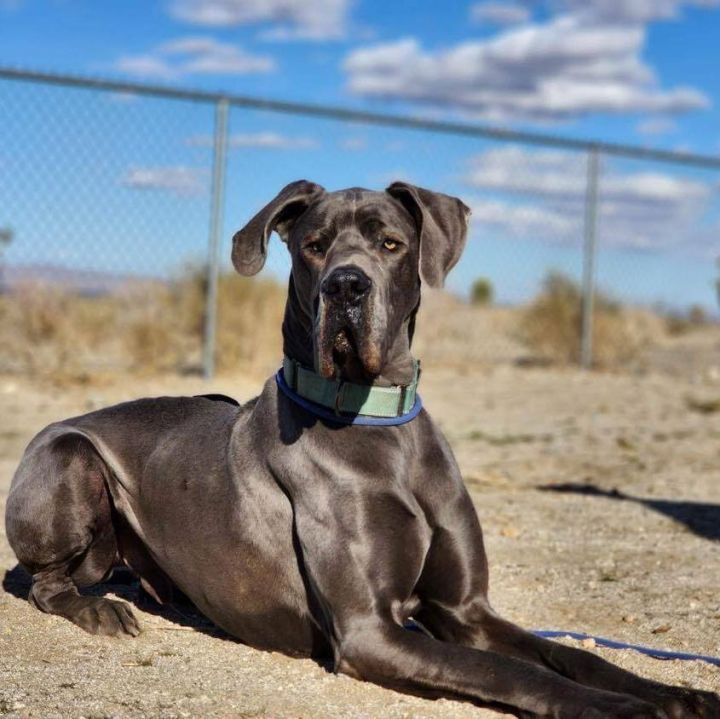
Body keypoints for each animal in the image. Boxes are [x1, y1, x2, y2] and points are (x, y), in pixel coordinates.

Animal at [7, 183, 720, 716]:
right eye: (314, 246)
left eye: (391, 243)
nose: (346, 286)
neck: (380, 424)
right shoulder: (370, 631)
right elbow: (508, 672)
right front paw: (624, 710)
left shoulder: (465, 610)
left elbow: (568, 654)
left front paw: (668, 693)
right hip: (68, 456)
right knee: (45, 583)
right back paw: (101, 610)